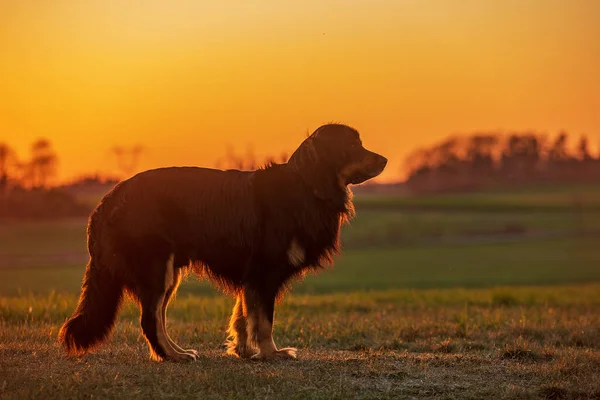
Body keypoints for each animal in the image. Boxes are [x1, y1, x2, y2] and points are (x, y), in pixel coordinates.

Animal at [58, 123, 390, 360]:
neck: (308, 185)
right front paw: (272, 353)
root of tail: (107, 202)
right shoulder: (265, 272)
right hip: (157, 268)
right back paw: (171, 357)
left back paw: (177, 352)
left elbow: (243, 316)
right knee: (150, 319)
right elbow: (263, 320)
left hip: (170, 273)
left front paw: (243, 351)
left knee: (157, 317)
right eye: (353, 146)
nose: (386, 159)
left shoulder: (251, 275)